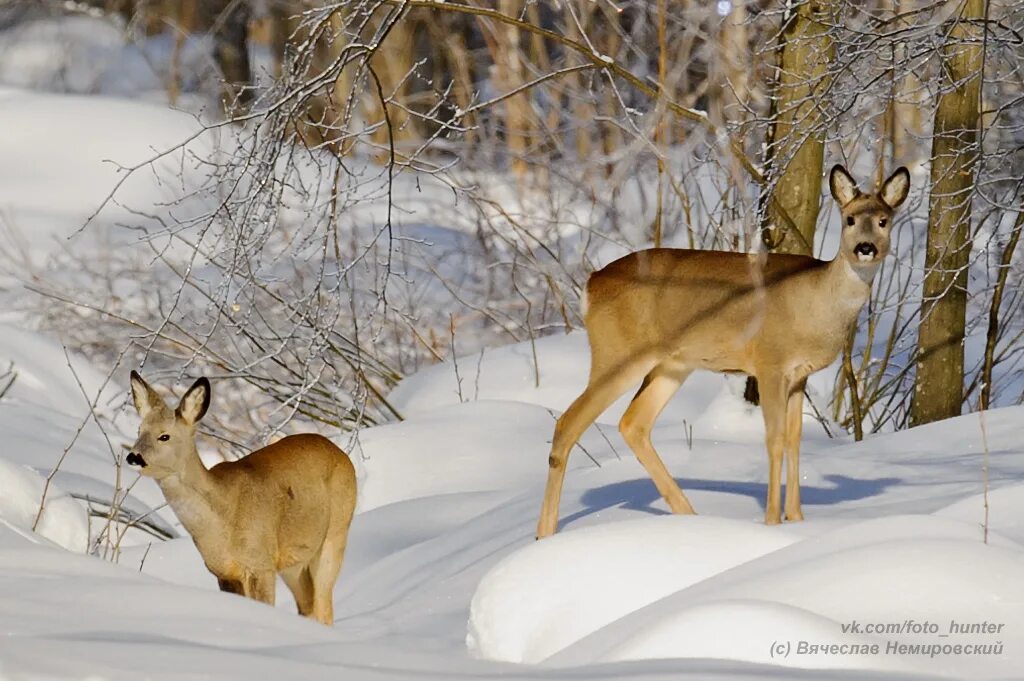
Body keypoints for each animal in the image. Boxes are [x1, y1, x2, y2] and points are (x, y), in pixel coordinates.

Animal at [128, 372, 356, 626]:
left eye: (164, 436)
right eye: (139, 430)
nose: (133, 457)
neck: (223, 516)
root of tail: (342, 454)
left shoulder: (261, 563)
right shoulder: (224, 573)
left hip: (335, 534)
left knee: (324, 606)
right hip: (294, 561)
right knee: (308, 605)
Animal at [536, 164, 913, 536]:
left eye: (884, 220)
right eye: (849, 219)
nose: (865, 247)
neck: (815, 302)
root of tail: (591, 284)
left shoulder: (798, 375)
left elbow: (795, 439)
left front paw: (798, 520)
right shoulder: (770, 362)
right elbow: (774, 439)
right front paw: (773, 522)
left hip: (672, 364)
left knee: (633, 423)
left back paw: (690, 516)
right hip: (617, 351)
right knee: (568, 423)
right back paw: (545, 534)